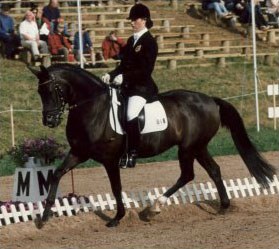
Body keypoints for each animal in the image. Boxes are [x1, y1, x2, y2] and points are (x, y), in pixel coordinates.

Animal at [29, 63, 276, 228]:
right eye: (39, 91)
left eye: (52, 90)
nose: (49, 120)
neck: (92, 107)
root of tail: (210, 100)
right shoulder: (79, 152)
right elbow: (56, 174)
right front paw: (44, 217)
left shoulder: (109, 159)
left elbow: (116, 187)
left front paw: (117, 218)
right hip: (198, 147)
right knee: (213, 170)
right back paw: (223, 206)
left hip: (188, 148)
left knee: (188, 174)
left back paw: (154, 207)